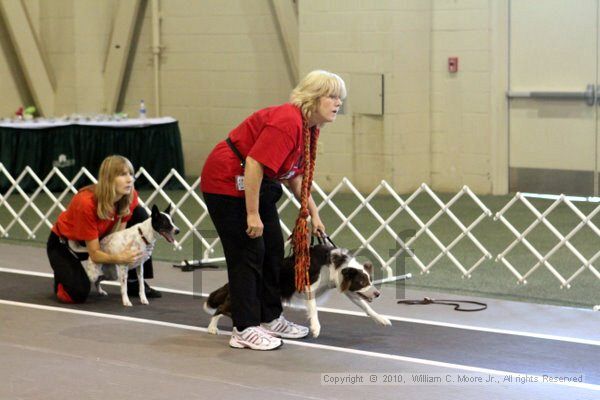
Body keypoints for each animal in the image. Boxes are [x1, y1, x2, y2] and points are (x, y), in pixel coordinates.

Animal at [204, 244, 392, 338]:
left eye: (370, 280)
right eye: (362, 282)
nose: (377, 294)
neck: (336, 266)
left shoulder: (346, 288)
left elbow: (366, 307)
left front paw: (381, 319)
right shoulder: (309, 286)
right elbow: (314, 309)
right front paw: (316, 327)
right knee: (220, 308)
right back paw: (212, 328)